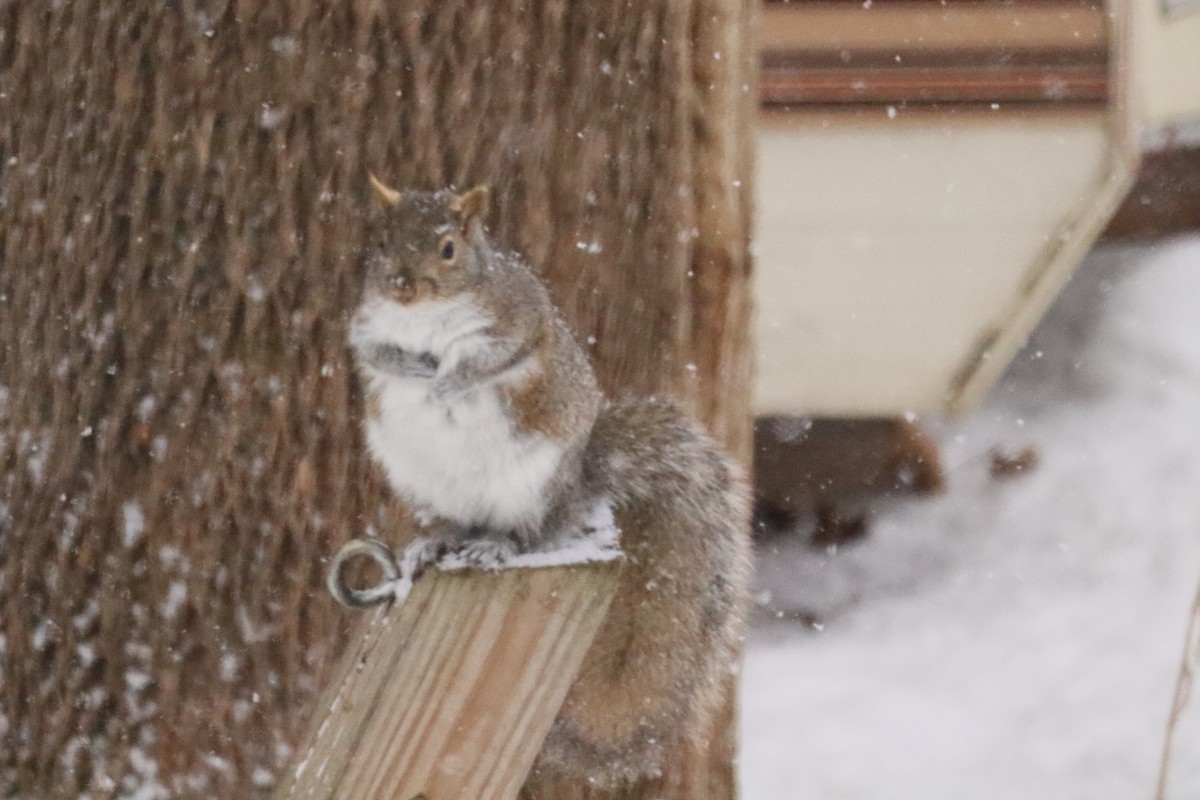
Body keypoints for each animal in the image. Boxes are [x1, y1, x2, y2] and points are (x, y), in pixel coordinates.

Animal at [349, 177, 752, 787]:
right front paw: (410, 368)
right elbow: (372, 351)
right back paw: (434, 542)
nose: (403, 288)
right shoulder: (366, 322)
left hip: (531, 486)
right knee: (451, 523)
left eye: (448, 248)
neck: (426, 319)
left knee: (530, 533)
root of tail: (576, 484)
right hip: (418, 481)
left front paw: (446, 382)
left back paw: (496, 545)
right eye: (380, 242)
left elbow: (492, 358)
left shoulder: (518, 317)